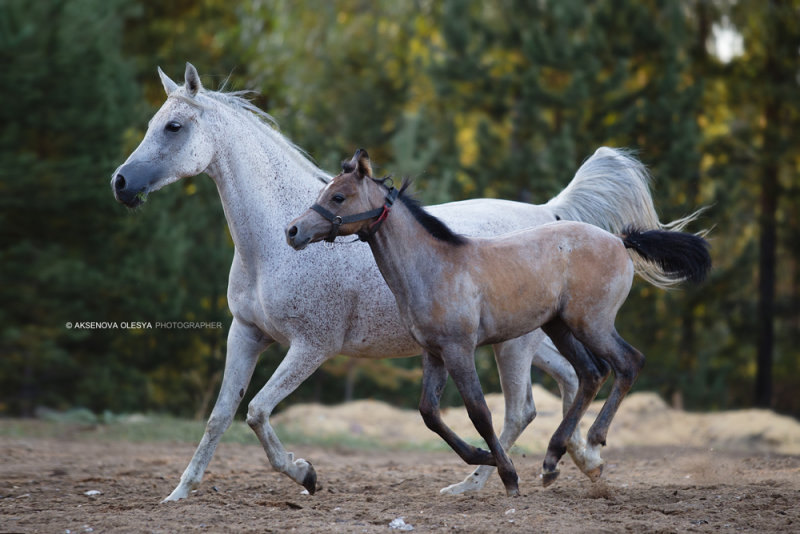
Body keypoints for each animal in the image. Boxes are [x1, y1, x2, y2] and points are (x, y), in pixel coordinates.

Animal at [111, 62, 700, 502]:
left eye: (174, 127)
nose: (120, 182)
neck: (269, 244)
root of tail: (552, 214)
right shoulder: (247, 334)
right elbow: (220, 415)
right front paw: (179, 492)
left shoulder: (312, 346)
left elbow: (256, 410)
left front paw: (306, 474)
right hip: (530, 338)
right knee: (575, 381)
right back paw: (577, 462)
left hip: (517, 345)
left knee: (528, 405)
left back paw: (487, 479)